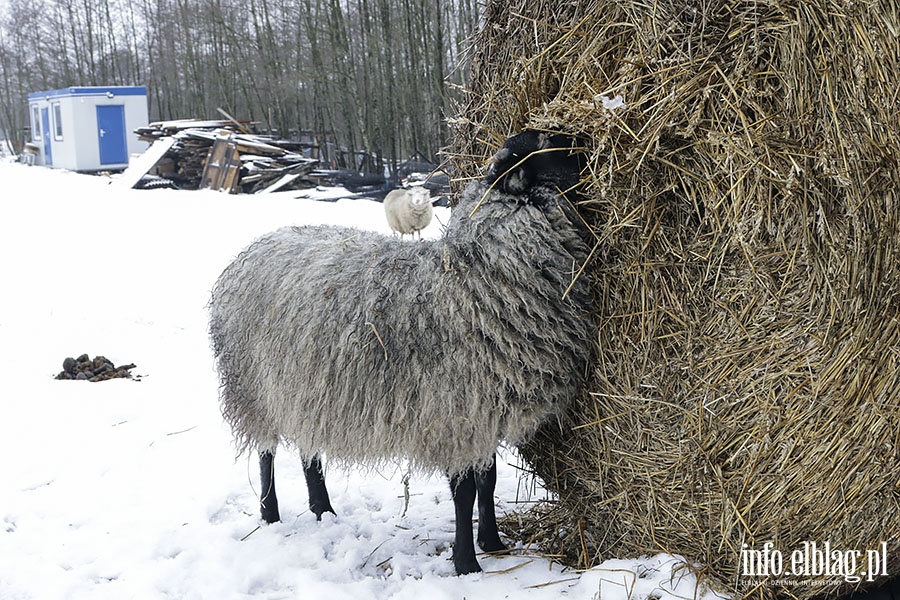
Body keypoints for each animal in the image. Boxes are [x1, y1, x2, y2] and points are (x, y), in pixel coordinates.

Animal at [207, 130, 596, 572]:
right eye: (545, 145)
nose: (586, 148)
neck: (472, 277)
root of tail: (251, 250)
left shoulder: (482, 409)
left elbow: (488, 480)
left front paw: (493, 541)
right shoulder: (452, 413)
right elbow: (464, 490)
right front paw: (467, 562)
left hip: (306, 387)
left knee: (308, 448)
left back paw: (323, 509)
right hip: (253, 388)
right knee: (266, 453)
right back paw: (270, 513)